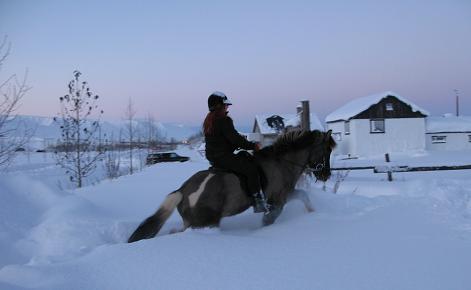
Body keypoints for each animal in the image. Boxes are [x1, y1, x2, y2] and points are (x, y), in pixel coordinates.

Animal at [128, 129, 336, 242]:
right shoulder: (277, 201)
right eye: (326, 150)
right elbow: (269, 220)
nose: (326, 175)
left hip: (194, 223)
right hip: (205, 223)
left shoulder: (284, 196)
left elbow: (303, 195)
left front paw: (312, 213)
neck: (281, 163)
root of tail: (183, 191)